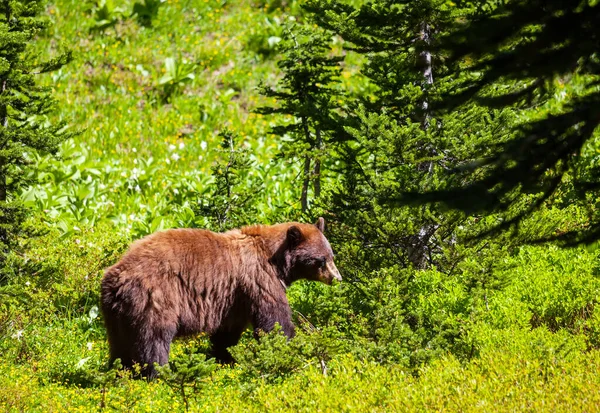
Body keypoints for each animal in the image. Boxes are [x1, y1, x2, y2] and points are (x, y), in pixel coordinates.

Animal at [101, 219, 340, 376]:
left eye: (331, 255)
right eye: (320, 260)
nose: (337, 278)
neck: (276, 261)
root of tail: (118, 277)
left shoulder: (233, 300)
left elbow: (226, 333)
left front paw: (225, 359)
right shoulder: (259, 280)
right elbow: (274, 321)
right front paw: (290, 350)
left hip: (116, 314)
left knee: (121, 345)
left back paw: (120, 371)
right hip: (155, 299)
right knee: (153, 340)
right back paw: (159, 373)